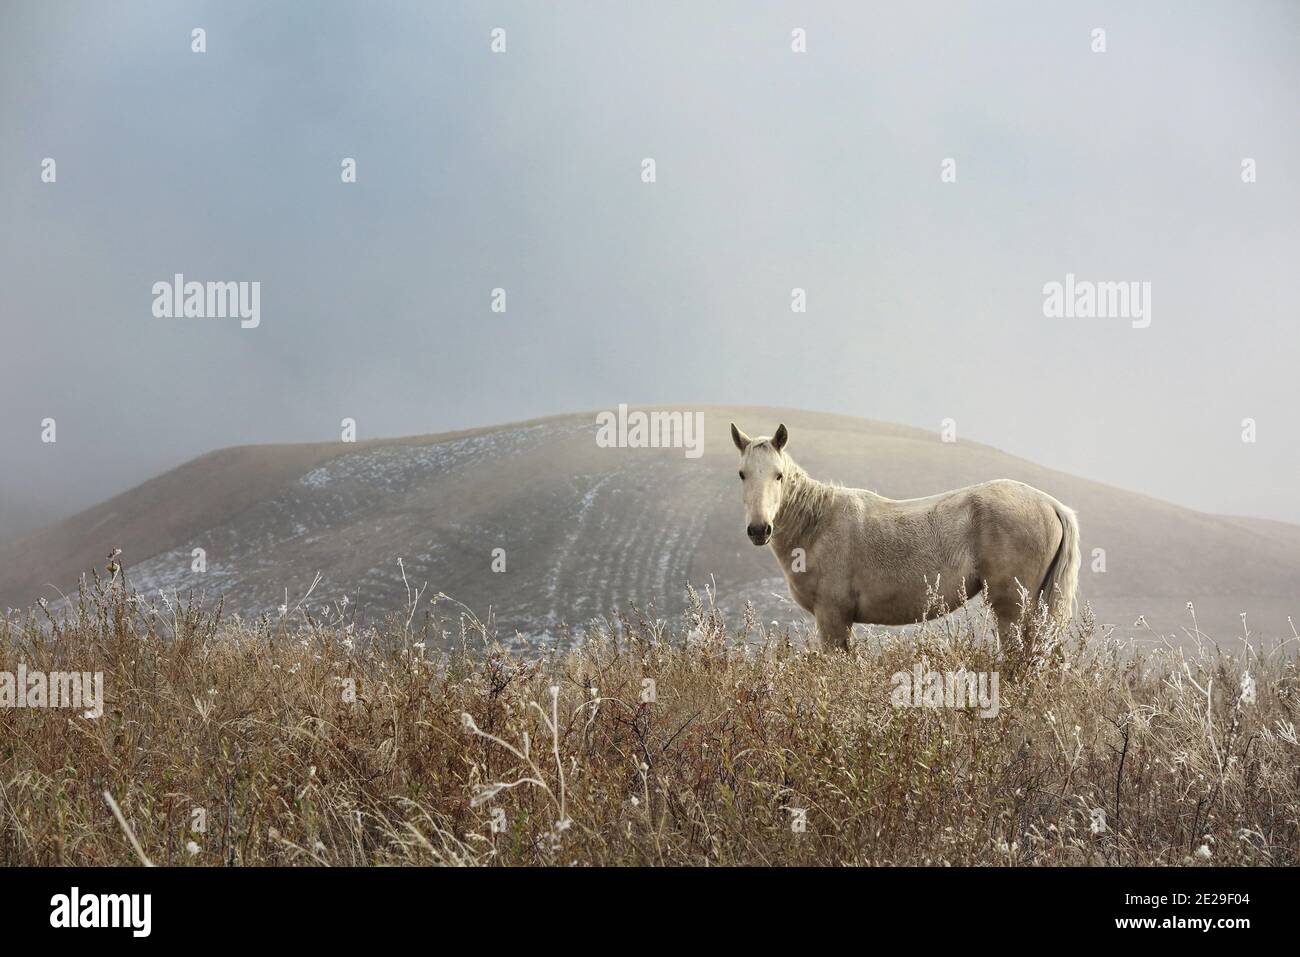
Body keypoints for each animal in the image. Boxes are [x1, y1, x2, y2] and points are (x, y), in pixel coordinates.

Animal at [730, 422, 1080, 651]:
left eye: (779, 475)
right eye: (742, 474)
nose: (759, 529)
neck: (817, 523)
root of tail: (1051, 504)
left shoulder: (832, 617)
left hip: (1012, 610)